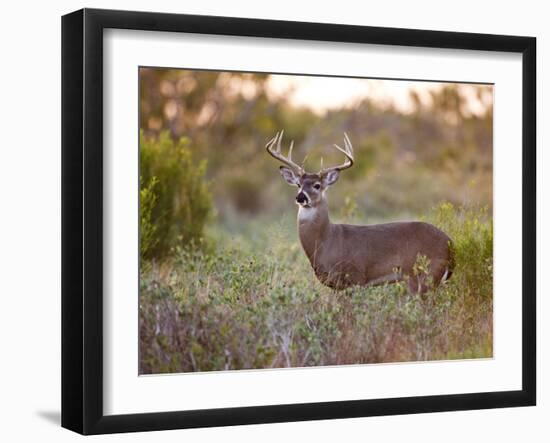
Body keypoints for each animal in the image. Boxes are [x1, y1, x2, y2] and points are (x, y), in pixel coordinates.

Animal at [268, 130, 458, 294]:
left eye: (317, 185)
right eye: (298, 184)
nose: (300, 197)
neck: (327, 240)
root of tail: (450, 244)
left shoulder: (355, 278)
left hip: (423, 275)